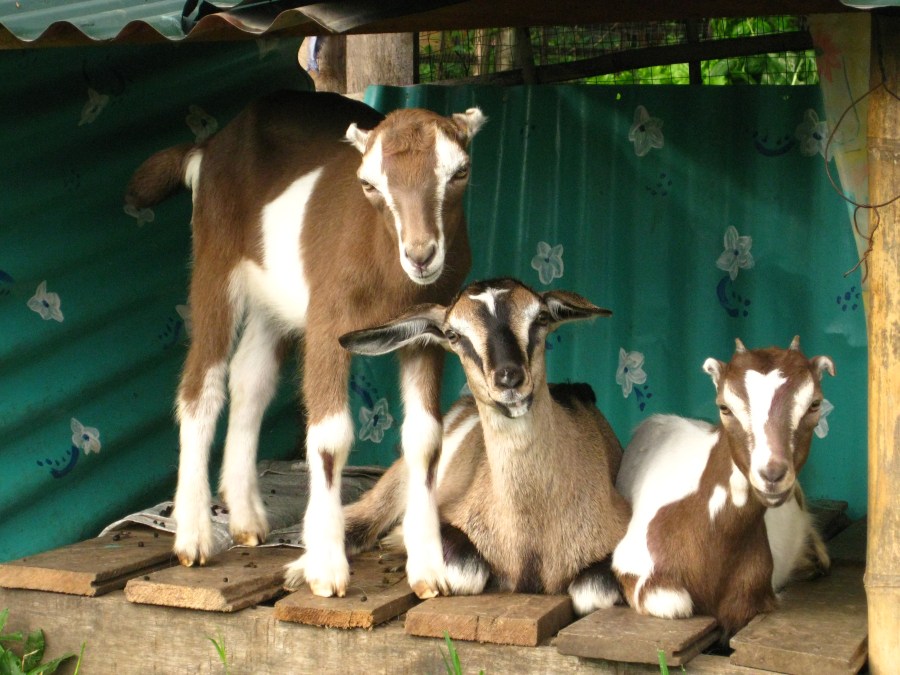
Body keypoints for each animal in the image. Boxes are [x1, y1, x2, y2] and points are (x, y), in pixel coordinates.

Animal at [125, 90, 486, 599]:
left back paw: (246, 518)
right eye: (368, 184)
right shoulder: (328, 321)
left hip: (271, 298)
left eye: (460, 172)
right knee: (202, 383)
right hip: (216, 261)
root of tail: (211, 146)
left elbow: (426, 438)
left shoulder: (427, 334)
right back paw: (193, 535)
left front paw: (429, 569)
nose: (420, 255)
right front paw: (326, 569)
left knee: (251, 379)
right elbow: (331, 438)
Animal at [339, 277, 632, 614]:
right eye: (453, 334)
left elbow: (592, 591)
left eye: (541, 317)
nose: (509, 379)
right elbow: (466, 572)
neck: (532, 537)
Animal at [611, 337, 834, 636]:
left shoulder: (750, 597)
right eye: (724, 407)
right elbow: (676, 603)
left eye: (815, 404)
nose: (772, 474)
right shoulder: (634, 566)